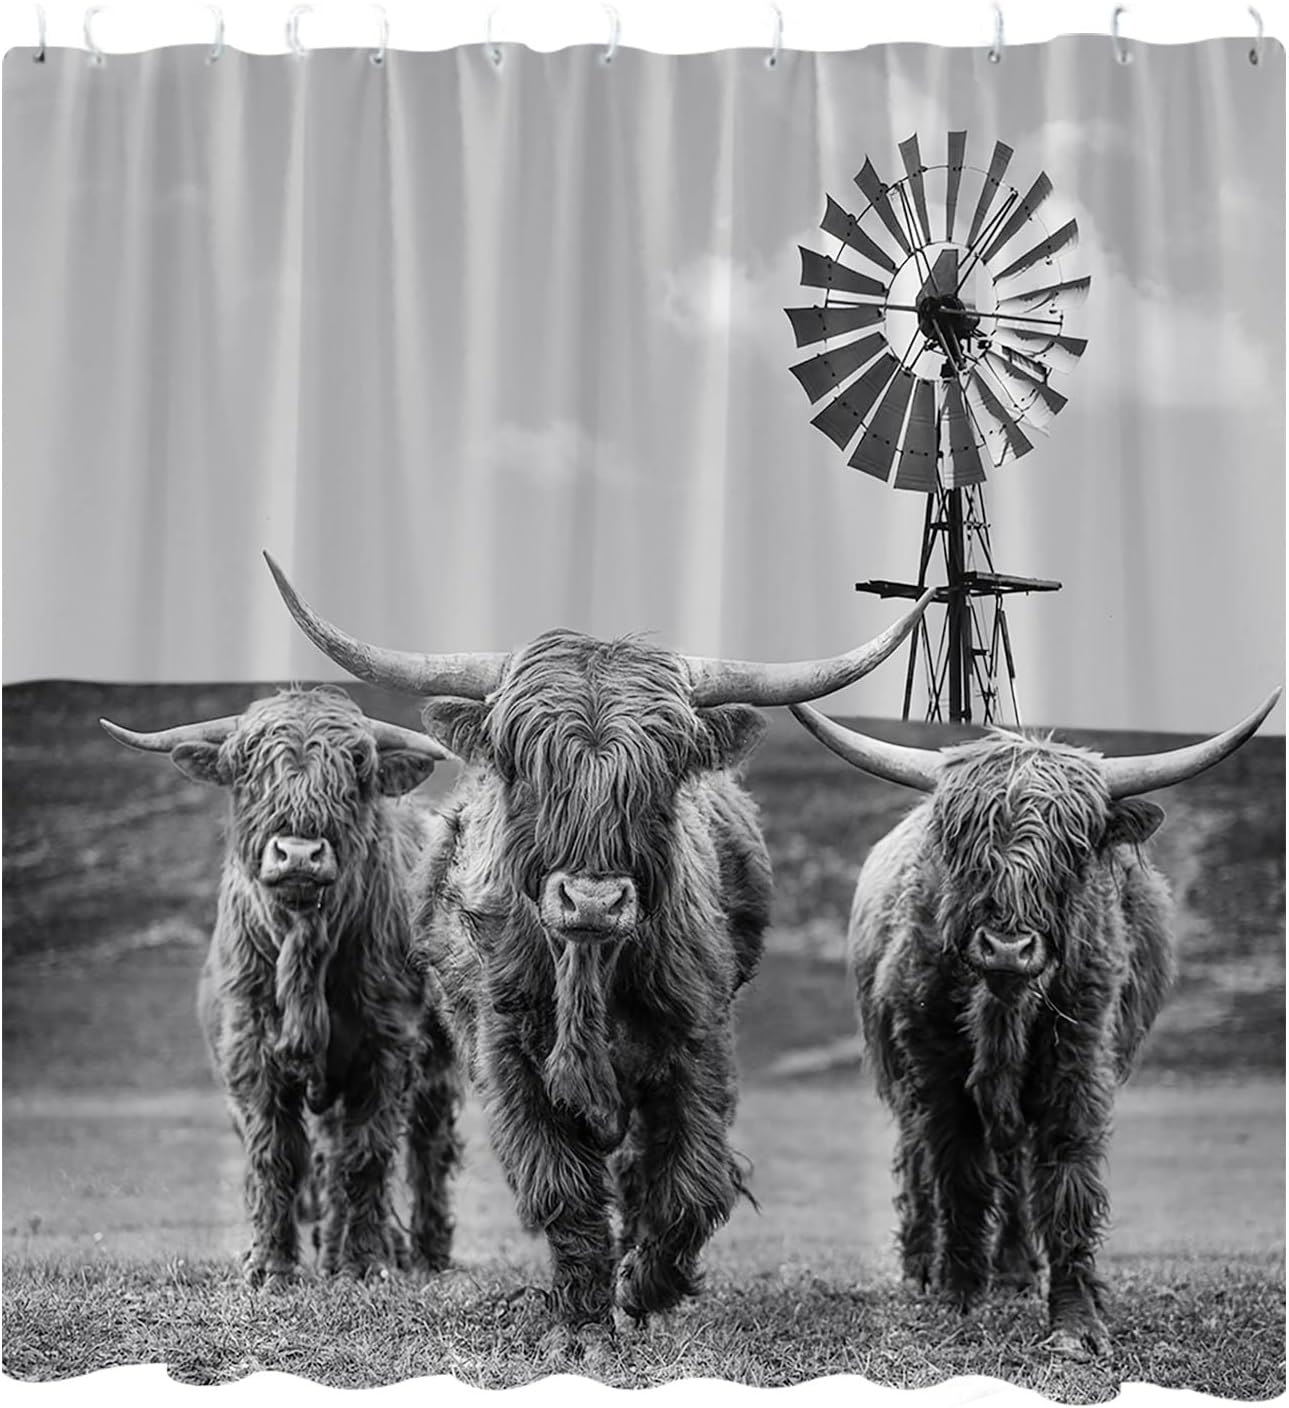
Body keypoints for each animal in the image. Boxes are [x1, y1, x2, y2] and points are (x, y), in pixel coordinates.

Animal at [100, 686, 462, 1289]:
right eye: (247, 767)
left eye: (356, 765)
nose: (298, 854)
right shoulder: (249, 1047)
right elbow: (277, 1154)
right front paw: (271, 1266)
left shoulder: (387, 1044)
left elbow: (368, 1153)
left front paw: (367, 1263)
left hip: (437, 1062)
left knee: (426, 1143)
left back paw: (425, 1253)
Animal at [263, 552, 932, 1346]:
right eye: (528, 767)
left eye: (659, 773)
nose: (590, 900)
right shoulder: (507, 1056)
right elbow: (559, 1184)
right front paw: (581, 1315)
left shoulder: (695, 1044)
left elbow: (689, 1182)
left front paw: (644, 1290)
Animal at [788, 692, 1281, 1358]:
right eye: (964, 841)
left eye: (1072, 849)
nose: (1007, 947)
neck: (1004, 1003)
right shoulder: (935, 1069)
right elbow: (958, 1173)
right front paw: (959, 1296)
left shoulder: (1079, 1059)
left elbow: (1066, 1178)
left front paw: (1074, 1324)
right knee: (920, 1162)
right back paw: (923, 1269)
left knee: (1017, 1163)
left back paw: (1018, 1271)